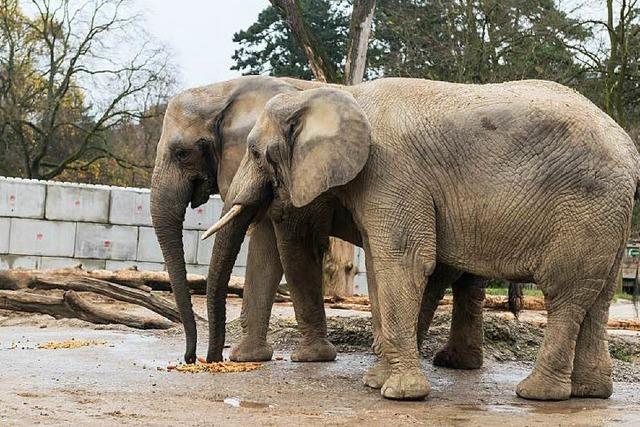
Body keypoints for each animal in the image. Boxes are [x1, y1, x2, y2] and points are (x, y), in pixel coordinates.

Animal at [151, 75, 484, 370]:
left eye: (182, 153)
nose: (199, 358)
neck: (227, 90)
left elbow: (293, 243)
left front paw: (309, 357)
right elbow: (266, 247)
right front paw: (248, 358)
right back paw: (456, 363)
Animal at [204, 77, 640, 402]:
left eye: (255, 153)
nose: (209, 361)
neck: (337, 94)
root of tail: (628, 147)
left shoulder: (391, 171)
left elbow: (404, 261)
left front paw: (398, 393)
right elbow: (378, 264)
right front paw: (375, 383)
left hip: (585, 210)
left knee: (565, 294)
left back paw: (537, 394)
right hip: (609, 218)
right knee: (598, 296)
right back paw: (589, 392)